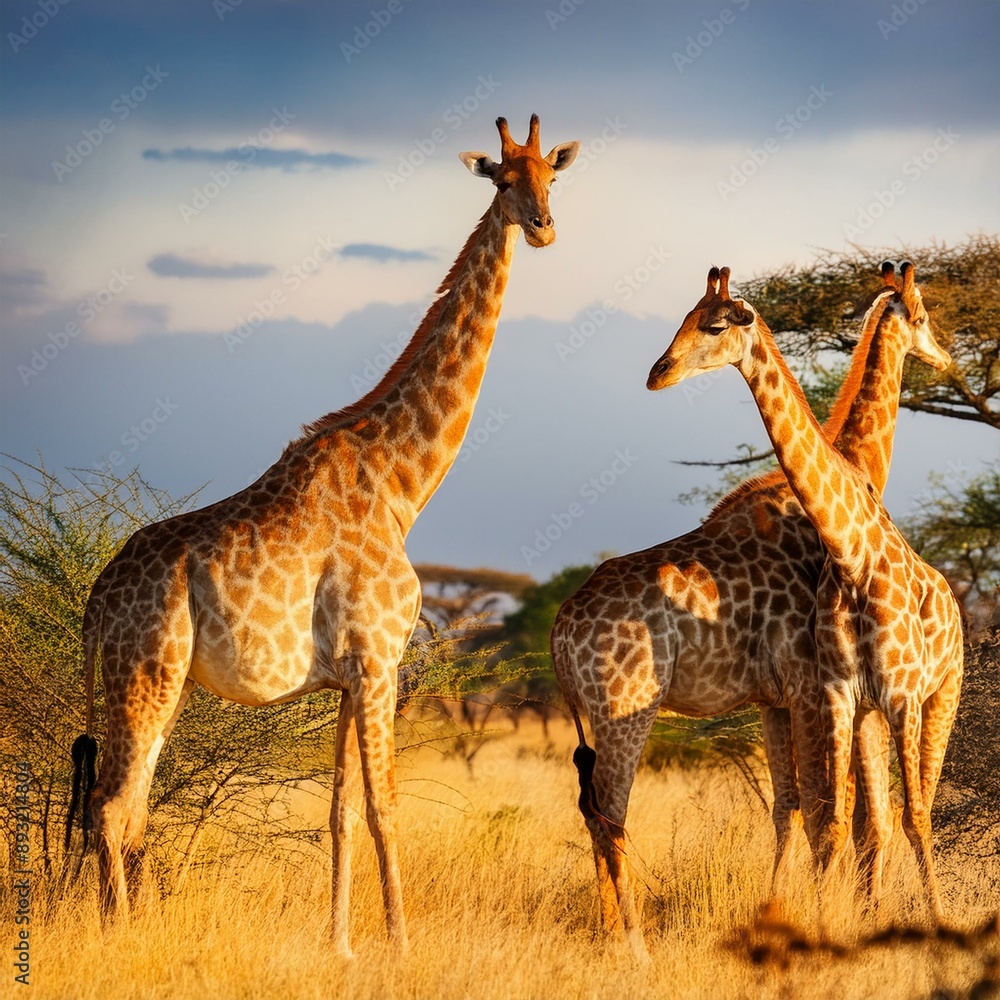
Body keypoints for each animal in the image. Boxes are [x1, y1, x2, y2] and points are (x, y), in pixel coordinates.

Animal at [66, 114, 581, 955]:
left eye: (553, 176)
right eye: (503, 179)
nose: (542, 227)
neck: (402, 482)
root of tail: (92, 605)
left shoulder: (344, 677)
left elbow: (339, 812)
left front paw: (340, 945)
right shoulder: (380, 663)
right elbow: (385, 809)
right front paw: (401, 945)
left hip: (160, 683)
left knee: (128, 807)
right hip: (144, 670)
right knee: (111, 807)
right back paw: (122, 943)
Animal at [551, 262, 951, 959]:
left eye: (709, 323)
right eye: (924, 316)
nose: (658, 371)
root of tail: (557, 631)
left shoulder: (779, 697)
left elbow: (797, 809)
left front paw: (787, 914)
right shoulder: (814, 688)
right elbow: (830, 813)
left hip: (592, 717)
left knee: (592, 812)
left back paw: (606, 935)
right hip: (628, 708)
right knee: (612, 813)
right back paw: (634, 944)